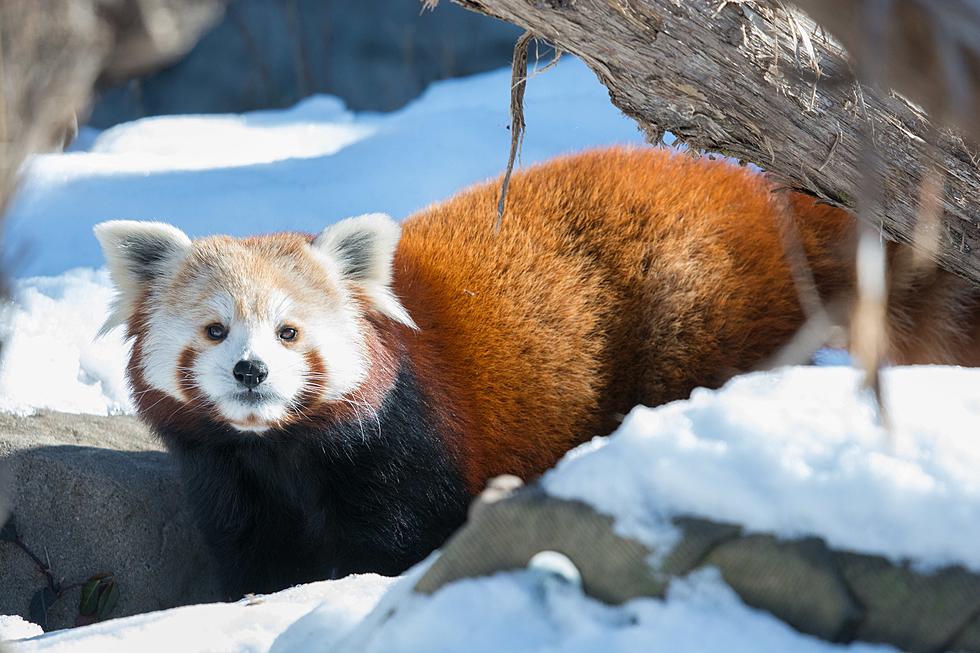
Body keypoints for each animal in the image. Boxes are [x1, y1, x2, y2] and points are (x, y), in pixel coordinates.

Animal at [94, 146, 980, 596]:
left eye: (288, 331)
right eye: (215, 331)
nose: (250, 372)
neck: (283, 450)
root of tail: (756, 193)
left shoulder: (407, 444)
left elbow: (401, 542)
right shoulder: (228, 475)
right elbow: (255, 559)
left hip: (696, 302)